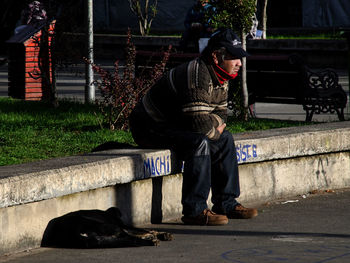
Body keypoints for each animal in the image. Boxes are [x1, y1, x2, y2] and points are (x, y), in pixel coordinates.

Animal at [41, 207, 173, 249]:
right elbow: (144, 230)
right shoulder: (122, 225)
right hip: (112, 227)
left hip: (100, 236)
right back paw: (151, 240)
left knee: (126, 239)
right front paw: (159, 234)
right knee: (131, 238)